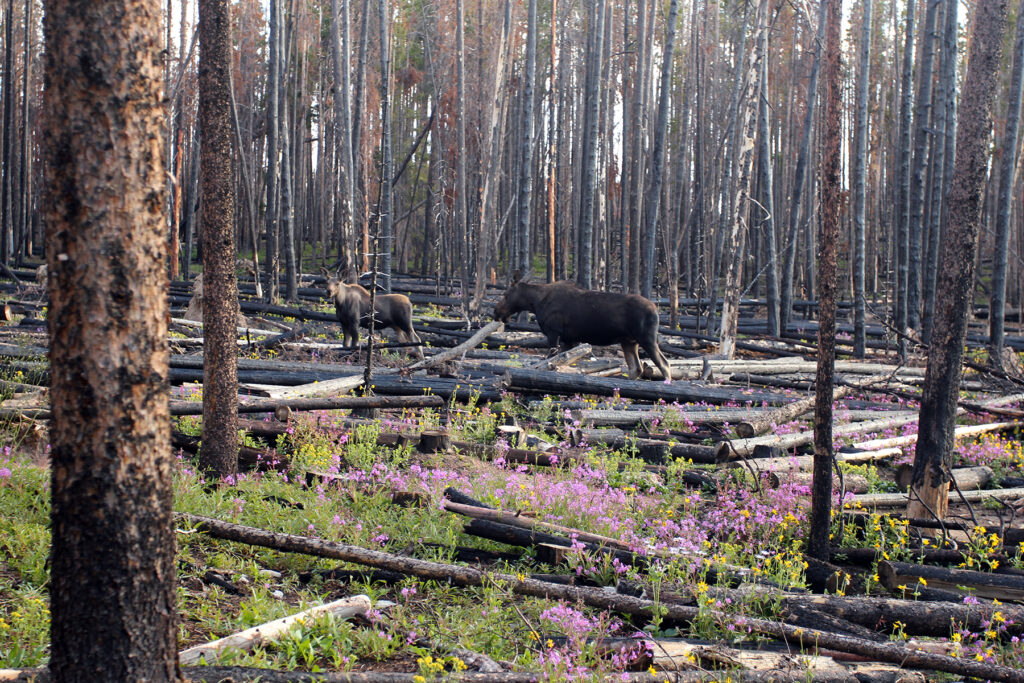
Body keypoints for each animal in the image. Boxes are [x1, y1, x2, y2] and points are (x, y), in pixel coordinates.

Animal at [493, 272, 671, 382]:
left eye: (505, 295)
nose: (496, 312)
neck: (535, 303)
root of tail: (656, 310)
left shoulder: (553, 333)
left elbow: (550, 360)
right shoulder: (568, 339)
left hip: (647, 339)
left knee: (664, 364)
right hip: (629, 341)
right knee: (636, 369)